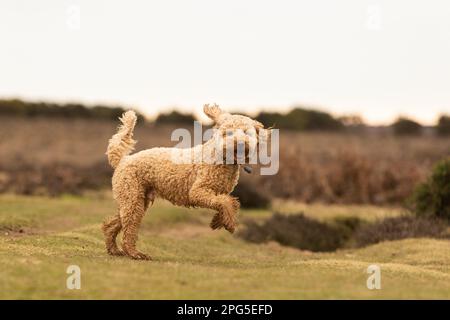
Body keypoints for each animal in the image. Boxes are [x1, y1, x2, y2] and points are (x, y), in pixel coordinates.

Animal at [102, 105, 268, 260]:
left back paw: (114, 249)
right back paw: (134, 253)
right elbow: (226, 202)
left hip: (137, 200)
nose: (240, 143)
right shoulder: (197, 192)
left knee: (111, 224)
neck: (220, 157)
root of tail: (123, 159)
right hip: (132, 197)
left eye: (246, 132)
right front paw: (229, 223)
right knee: (128, 229)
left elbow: (225, 202)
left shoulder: (217, 192)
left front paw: (218, 221)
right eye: (228, 133)